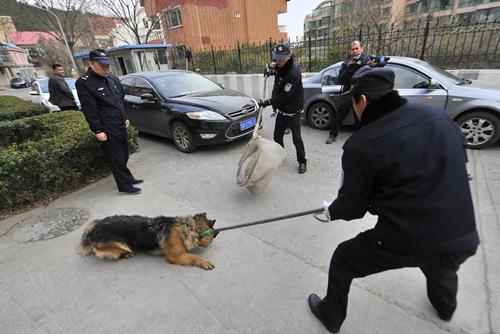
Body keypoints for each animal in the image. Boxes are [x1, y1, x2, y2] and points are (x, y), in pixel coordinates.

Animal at [77, 213, 215, 270]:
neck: (186, 228)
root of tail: (93, 230)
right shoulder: (175, 256)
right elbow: (194, 257)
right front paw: (204, 262)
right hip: (121, 244)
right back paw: (127, 254)